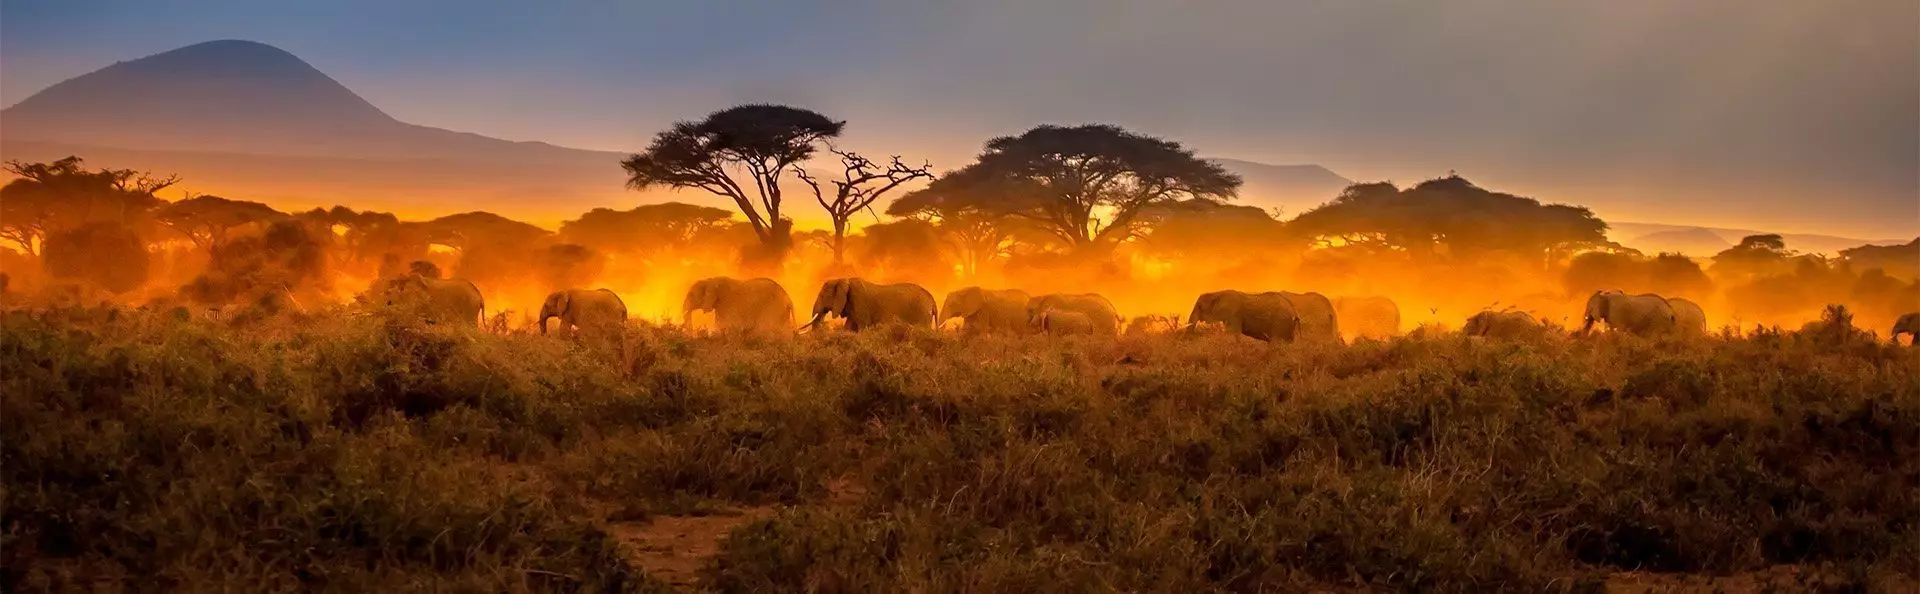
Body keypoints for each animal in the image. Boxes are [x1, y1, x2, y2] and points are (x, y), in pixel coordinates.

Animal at [807, 277, 937, 331]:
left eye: (822, 296)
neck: (842, 279)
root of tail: (932, 299)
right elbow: (849, 328)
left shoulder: (860, 302)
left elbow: (862, 328)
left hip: (922, 312)